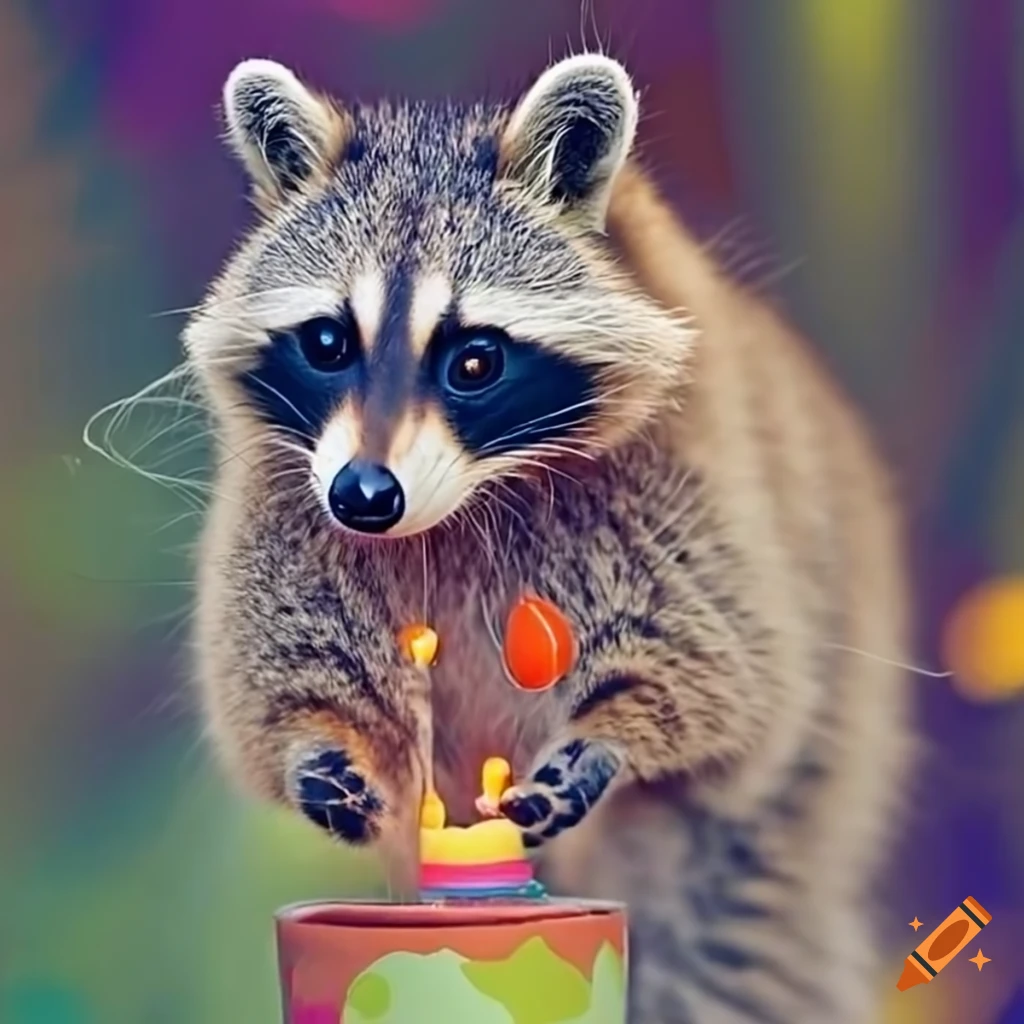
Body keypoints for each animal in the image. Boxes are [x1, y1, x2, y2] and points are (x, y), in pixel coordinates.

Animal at [184, 54, 911, 1023]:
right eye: (330, 342)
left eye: (475, 359)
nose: (366, 497)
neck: (458, 505)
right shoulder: (286, 498)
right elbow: (278, 665)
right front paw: (316, 737)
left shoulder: (690, 487)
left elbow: (730, 672)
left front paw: (616, 728)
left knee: (725, 927)